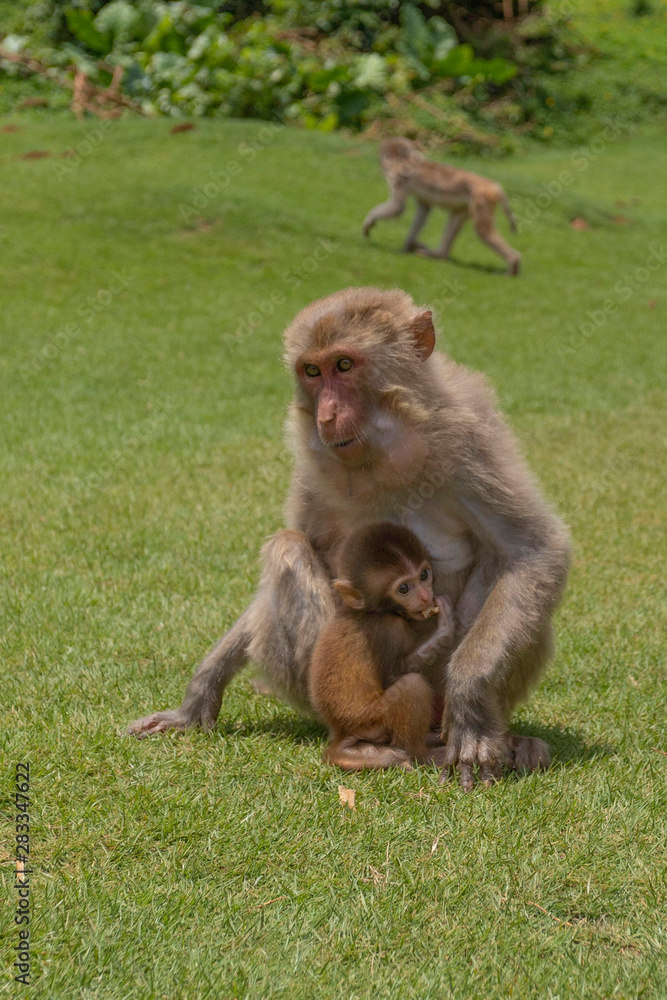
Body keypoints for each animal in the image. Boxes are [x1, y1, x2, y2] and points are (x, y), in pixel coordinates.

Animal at [309, 522, 456, 771]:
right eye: (404, 588)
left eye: (424, 575)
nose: (426, 598)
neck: (372, 611)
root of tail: (340, 731)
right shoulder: (389, 628)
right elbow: (396, 674)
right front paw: (444, 629)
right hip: (372, 720)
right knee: (411, 686)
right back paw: (421, 754)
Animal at [362, 137, 521, 276]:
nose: (382, 165)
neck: (404, 159)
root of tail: (494, 186)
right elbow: (424, 208)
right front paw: (409, 245)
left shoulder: (399, 177)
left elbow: (397, 208)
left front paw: (369, 221)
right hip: (471, 204)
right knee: (455, 218)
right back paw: (439, 255)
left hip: (482, 199)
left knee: (483, 231)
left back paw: (513, 264)